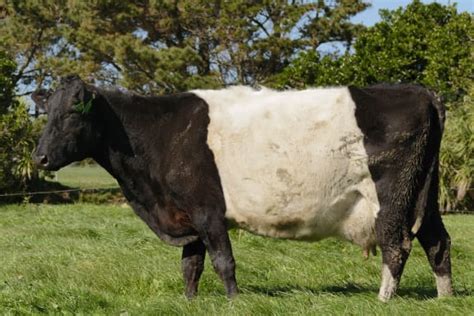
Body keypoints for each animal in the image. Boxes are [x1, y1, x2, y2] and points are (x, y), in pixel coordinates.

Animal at [31, 74, 454, 302]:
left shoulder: (207, 210)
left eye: (73, 113)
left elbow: (223, 261)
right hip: (425, 195)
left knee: (396, 243)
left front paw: (233, 301)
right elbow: (190, 265)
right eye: (46, 111)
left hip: (392, 196)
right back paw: (445, 297)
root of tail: (422, 92)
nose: (39, 157)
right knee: (437, 241)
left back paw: (384, 299)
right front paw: (189, 301)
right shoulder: (186, 215)